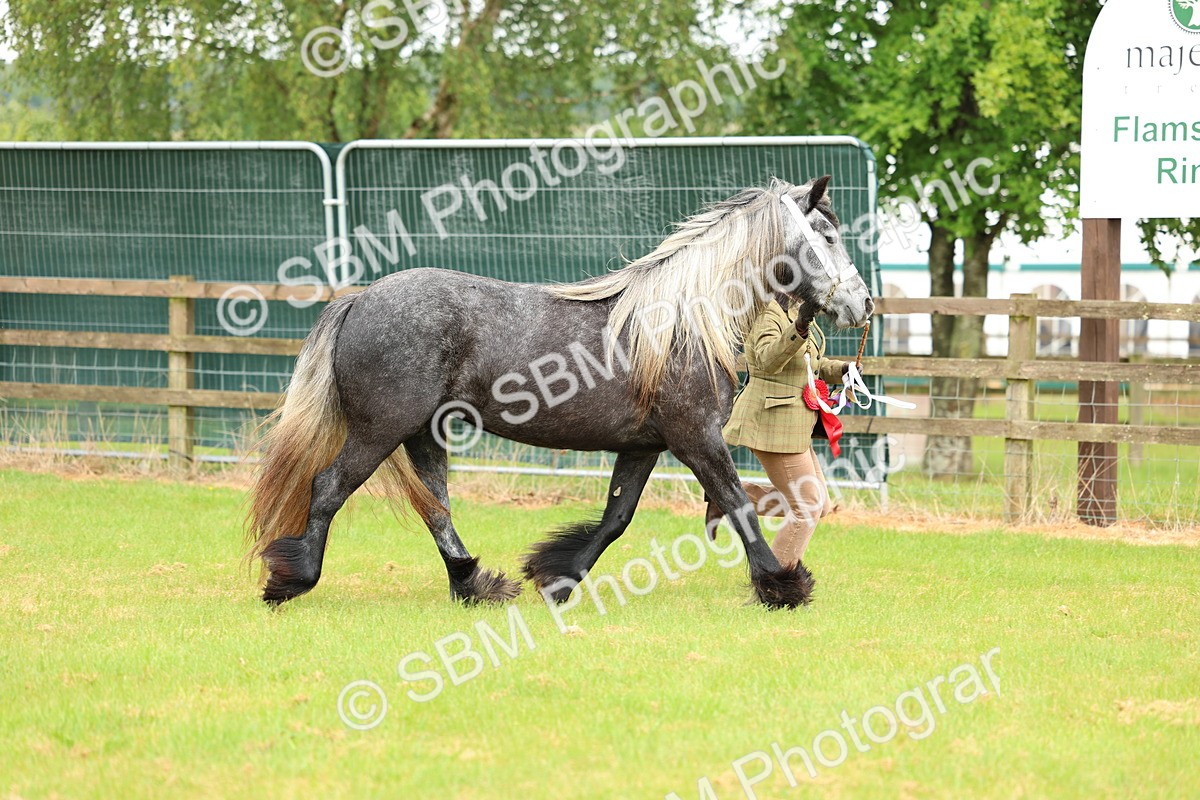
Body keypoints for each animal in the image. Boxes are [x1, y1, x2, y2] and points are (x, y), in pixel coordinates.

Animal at [246, 175, 873, 609]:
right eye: (828, 236)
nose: (862, 303)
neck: (682, 322)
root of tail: (361, 298)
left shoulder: (643, 447)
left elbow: (616, 519)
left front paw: (557, 579)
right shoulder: (696, 438)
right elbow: (739, 505)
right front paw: (783, 586)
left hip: (423, 433)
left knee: (436, 508)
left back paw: (475, 584)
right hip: (381, 429)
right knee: (329, 488)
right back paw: (292, 581)